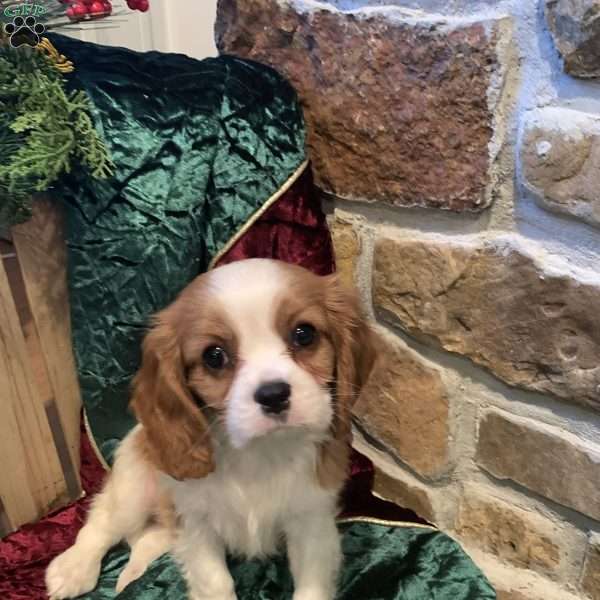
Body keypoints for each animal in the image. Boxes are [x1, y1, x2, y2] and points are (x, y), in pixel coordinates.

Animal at [45, 258, 376, 600]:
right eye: (214, 356)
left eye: (304, 334)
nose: (273, 394)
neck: (259, 451)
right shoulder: (196, 525)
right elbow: (215, 583)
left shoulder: (312, 519)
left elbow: (311, 587)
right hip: (133, 485)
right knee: (103, 520)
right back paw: (73, 569)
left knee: (148, 537)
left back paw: (132, 572)